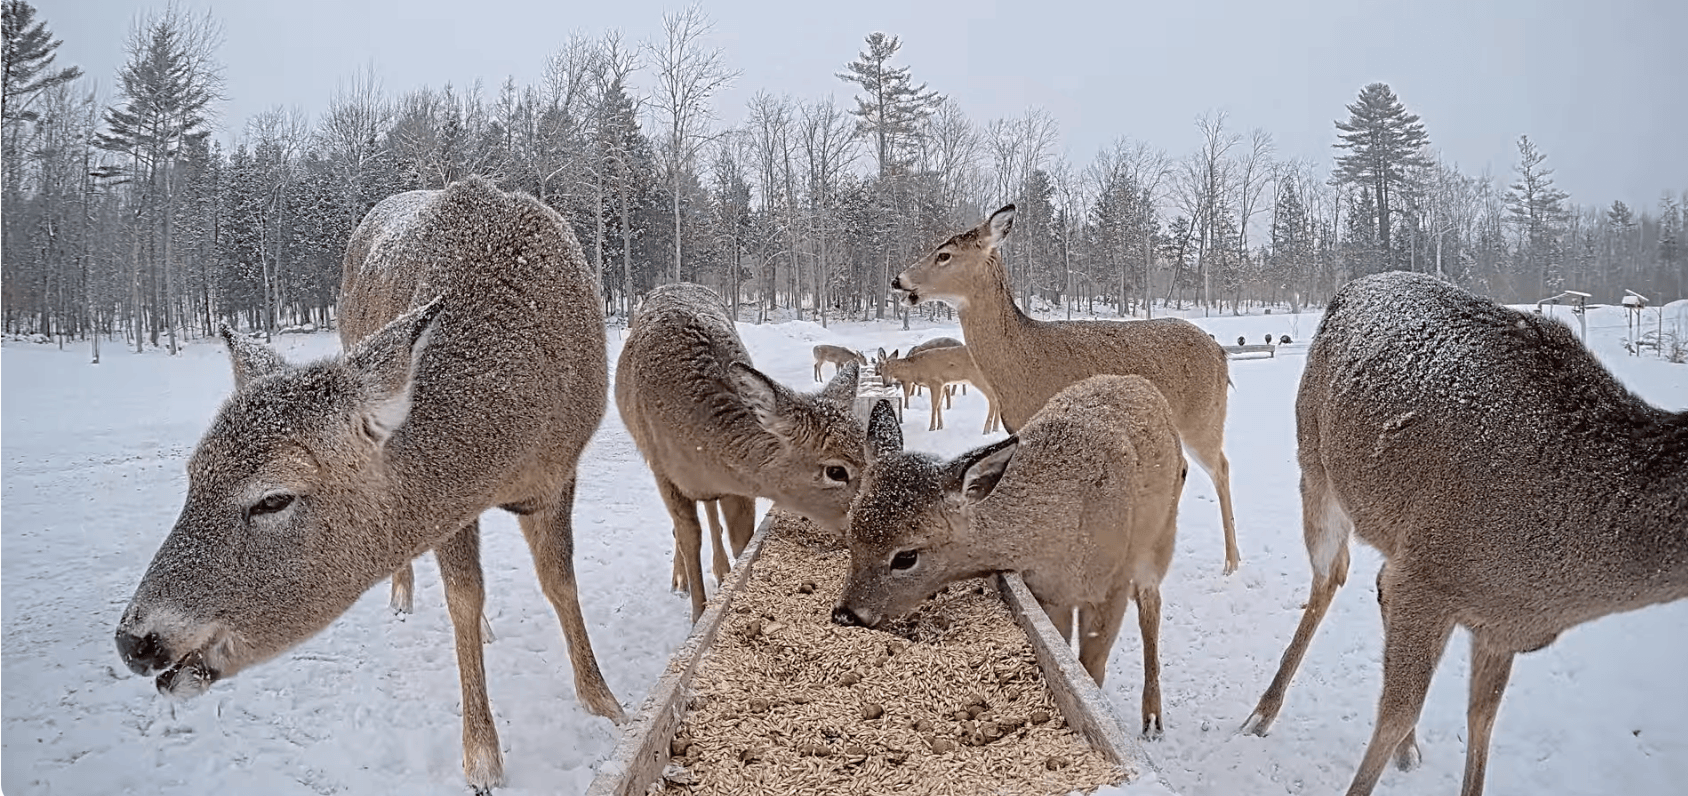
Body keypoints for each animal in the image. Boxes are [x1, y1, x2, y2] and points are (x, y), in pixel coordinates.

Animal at [614, 281, 871, 620]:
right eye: (836, 471)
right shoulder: (663, 473)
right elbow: (689, 537)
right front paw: (696, 611)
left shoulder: (738, 486)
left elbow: (740, 539)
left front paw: (729, 581)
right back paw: (679, 579)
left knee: (711, 511)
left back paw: (720, 568)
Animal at [833, 376, 1188, 735]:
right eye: (849, 535)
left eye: (906, 556)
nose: (846, 614)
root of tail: (1139, 383)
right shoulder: (1046, 596)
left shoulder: (1111, 586)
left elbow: (1092, 666)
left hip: (1159, 538)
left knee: (1151, 604)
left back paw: (1152, 717)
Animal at [898, 204, 1242, 576]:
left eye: (944, 254)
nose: (898, 280)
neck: (1021, 361)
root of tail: (1220, 353)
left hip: (1204, 417)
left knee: (1222, 468)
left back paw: (1231, 562)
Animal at [1242, 271, 1688, 796]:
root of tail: (1353, 287)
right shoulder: (1430, 577)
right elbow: (1396, 712)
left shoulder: (1500, 623)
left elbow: (1483, 720)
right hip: (1315, 460)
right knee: (1331, 574)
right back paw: (1262, 712)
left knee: (1376, 583)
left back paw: (1407, 747)